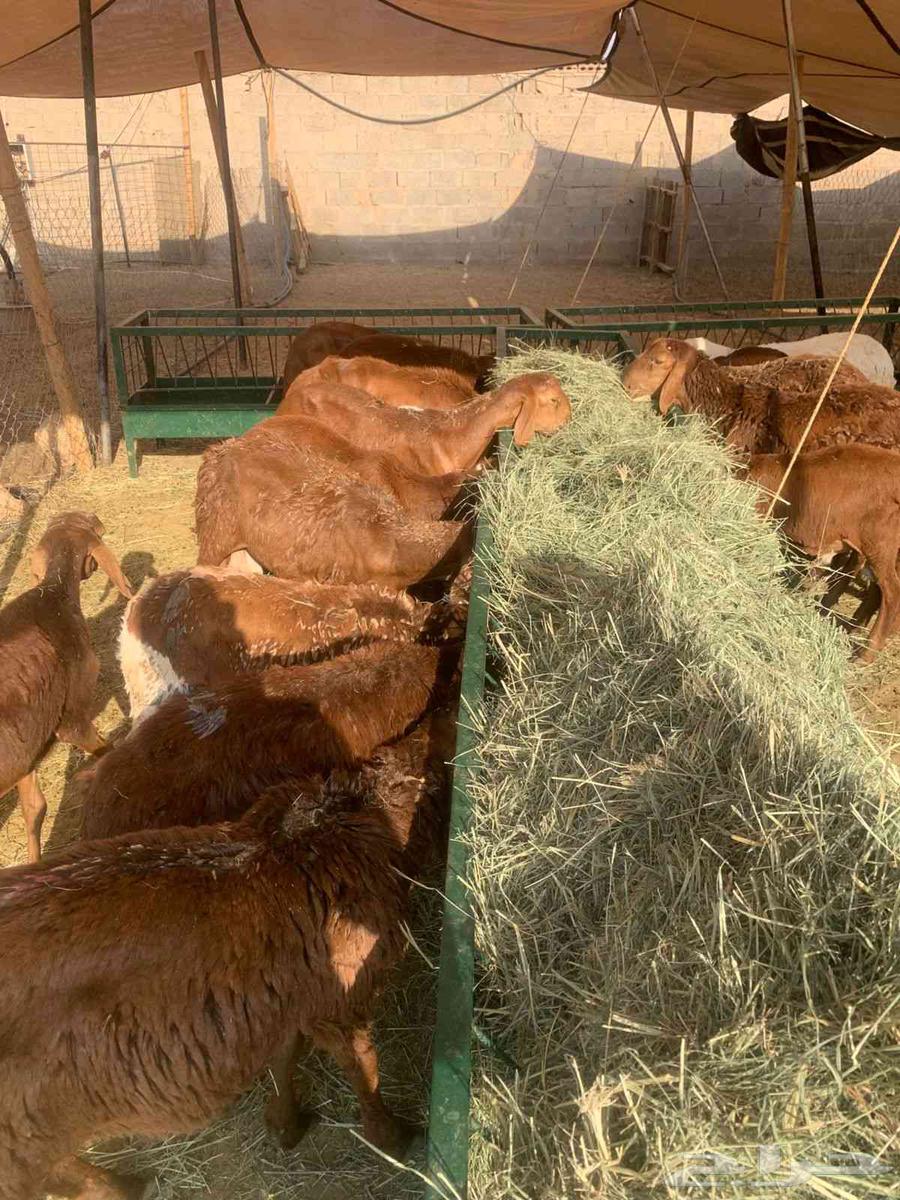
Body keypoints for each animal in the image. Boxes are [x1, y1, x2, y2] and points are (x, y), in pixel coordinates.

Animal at [0, 709, 456, 1200]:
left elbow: (284, 1056)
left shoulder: (284, 994)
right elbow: (364, 1069)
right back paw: (120, 1185)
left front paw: (285, 1124)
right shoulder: (339, 996)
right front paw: (391, 1136)